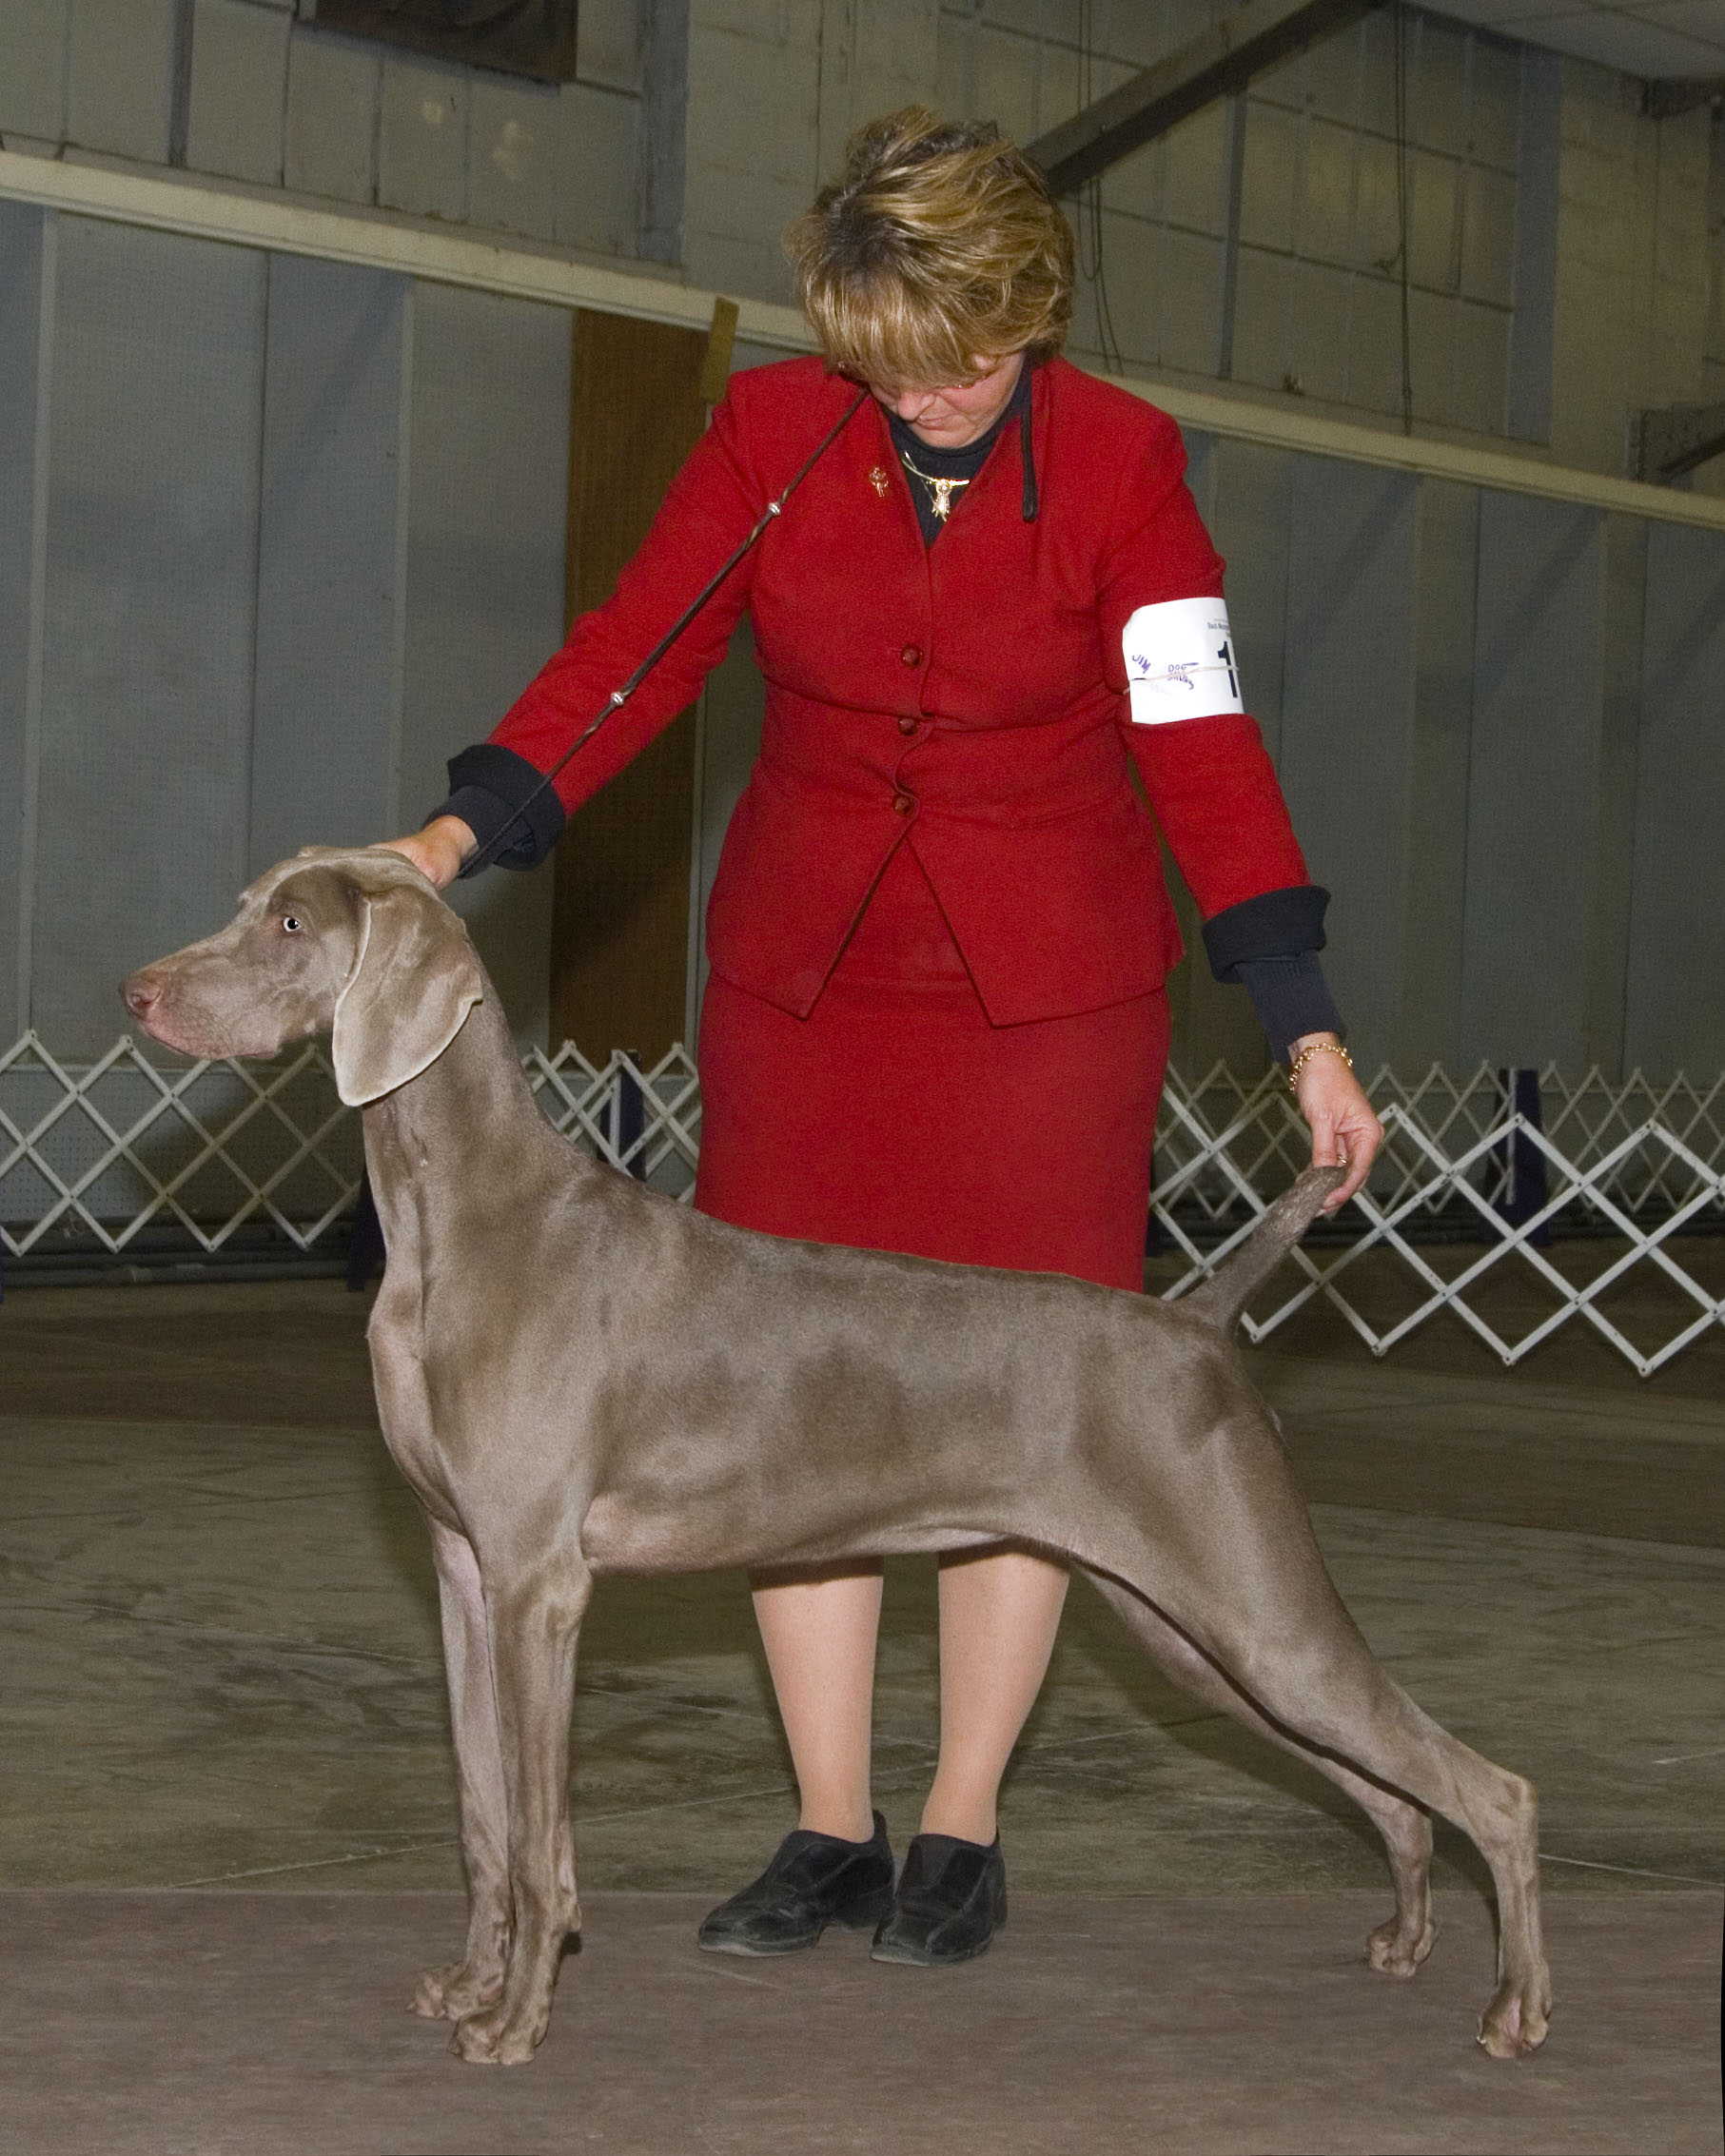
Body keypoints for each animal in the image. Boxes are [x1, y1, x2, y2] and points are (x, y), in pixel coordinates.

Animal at [121, 845, 1552, 2069]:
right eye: (249, 904)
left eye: (290, 924)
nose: (137, 990)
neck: (453, 1219)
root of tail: (1196, 1320)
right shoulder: (465, 1571)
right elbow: (482, 1815)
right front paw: (471, 1984)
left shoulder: (539, 1585)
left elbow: (536, 1836)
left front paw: (517, 2021)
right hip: (1193, 1630)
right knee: (1397, 1796)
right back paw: (1407, 1938)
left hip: (1252, 1606)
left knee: (1491, 1789)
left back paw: (1514, 2008)